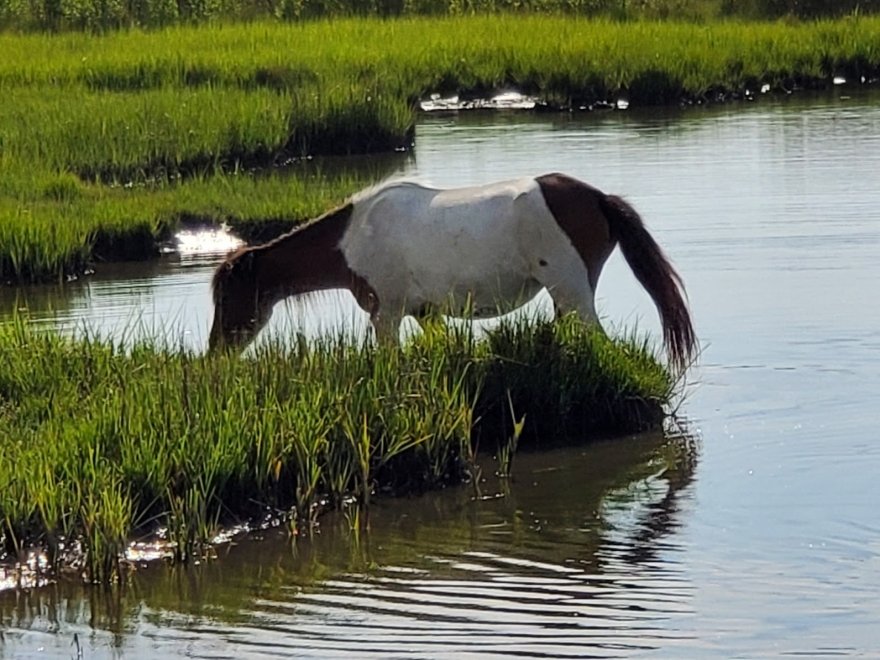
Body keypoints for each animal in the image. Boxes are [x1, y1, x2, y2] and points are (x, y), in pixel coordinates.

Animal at [206, 173, 696, 372]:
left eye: (228, 296)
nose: (214, 352)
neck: (356, 234)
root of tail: (596, 197)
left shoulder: (386, 314)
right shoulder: (426, 314)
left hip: (572, 291)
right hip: (565, 296)